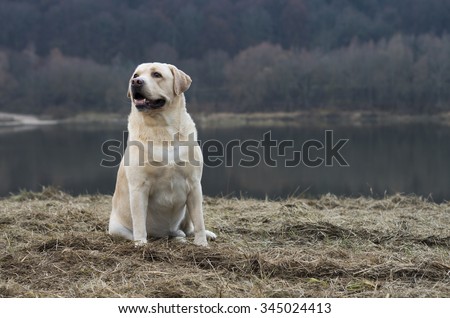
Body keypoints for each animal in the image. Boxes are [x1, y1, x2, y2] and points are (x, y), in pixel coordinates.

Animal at [108, 62, 215, 246]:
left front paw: (201, 244)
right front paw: (141, 244)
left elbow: (199, 220)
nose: (135, 82)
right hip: (116, 228)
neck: (161, 129)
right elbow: (139, 223)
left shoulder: (194, 184)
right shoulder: (139, 187)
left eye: (156, 74)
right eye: (135, 75)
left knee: (189, 228)